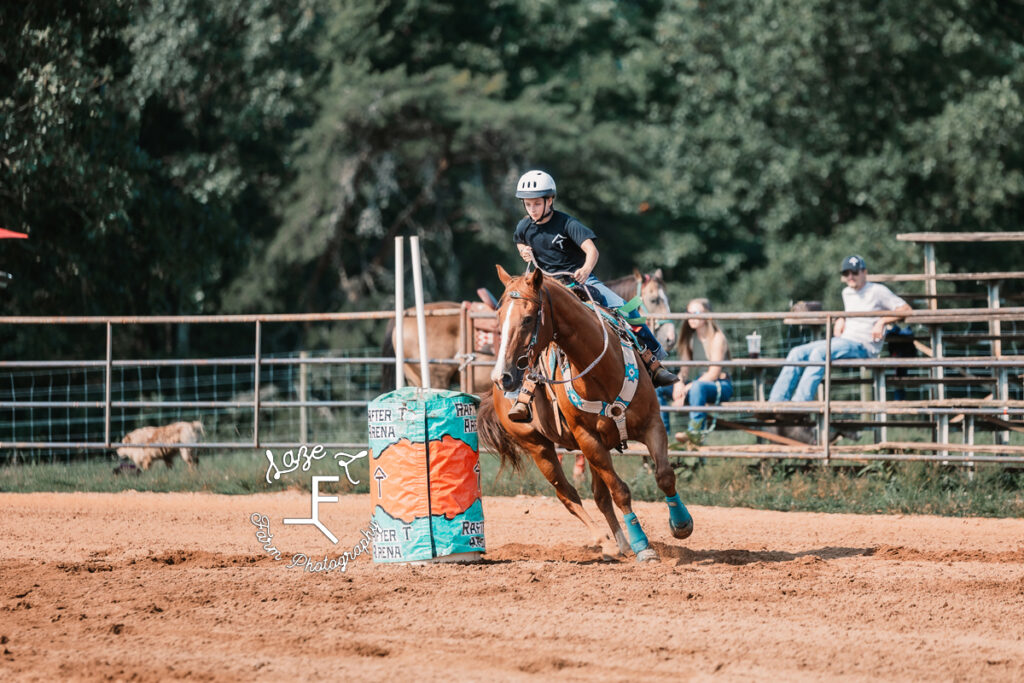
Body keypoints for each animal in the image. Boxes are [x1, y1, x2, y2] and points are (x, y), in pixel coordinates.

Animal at [475, 264, 692, 565]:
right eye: (498, 318)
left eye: (528, 318)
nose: (503, 377)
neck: (602, 370)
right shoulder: (588, 439)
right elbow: (620, 491)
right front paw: (644, 546)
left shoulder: (652, 425)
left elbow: (664, 475)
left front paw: (681, 524)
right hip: (539, 447)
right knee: (567, 495)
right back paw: (607, 543)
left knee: (599, 496)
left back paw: (622, 544)